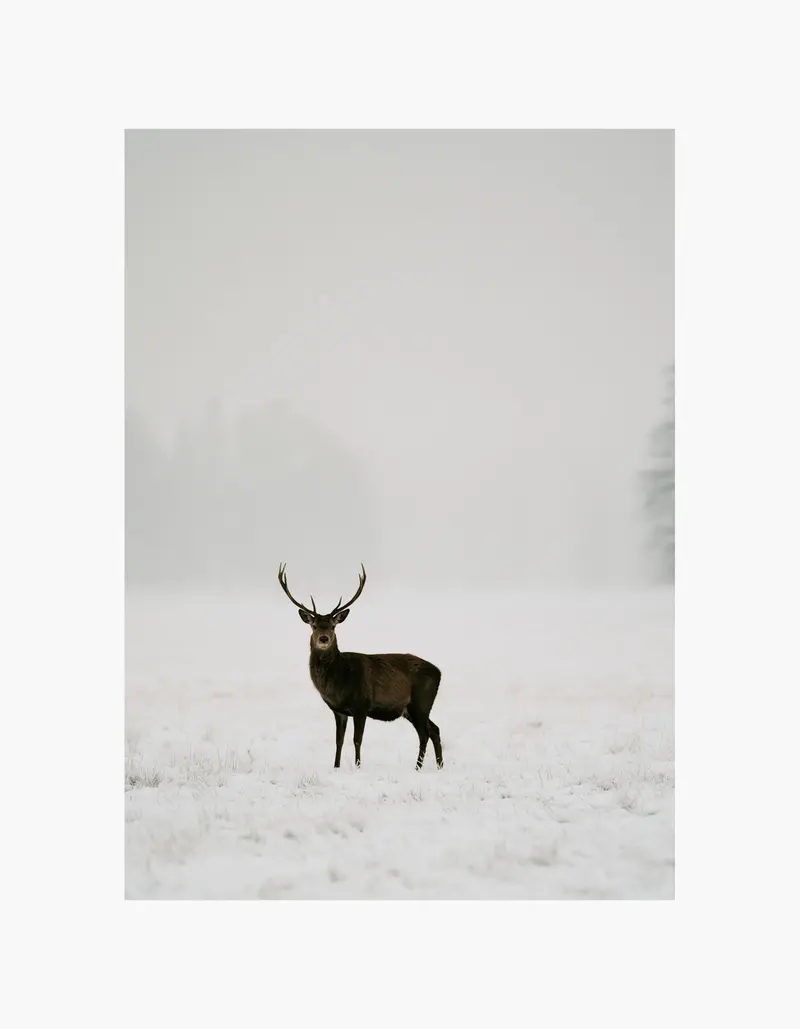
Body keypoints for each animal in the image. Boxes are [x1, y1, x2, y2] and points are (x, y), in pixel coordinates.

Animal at [278, 563, 444, 771]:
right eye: (314, 625)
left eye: (333, 626)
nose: (323, 638)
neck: (338, 681)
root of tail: (439, 672)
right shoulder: (339, 711)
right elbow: (339, 741)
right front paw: (336, 767)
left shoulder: (361, 704)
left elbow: (357, 740)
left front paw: (357, 767)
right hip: (411, 709)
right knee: (435, 729)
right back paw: (439, 766)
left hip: (421, 702)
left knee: (425, 734)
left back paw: (418, 768)